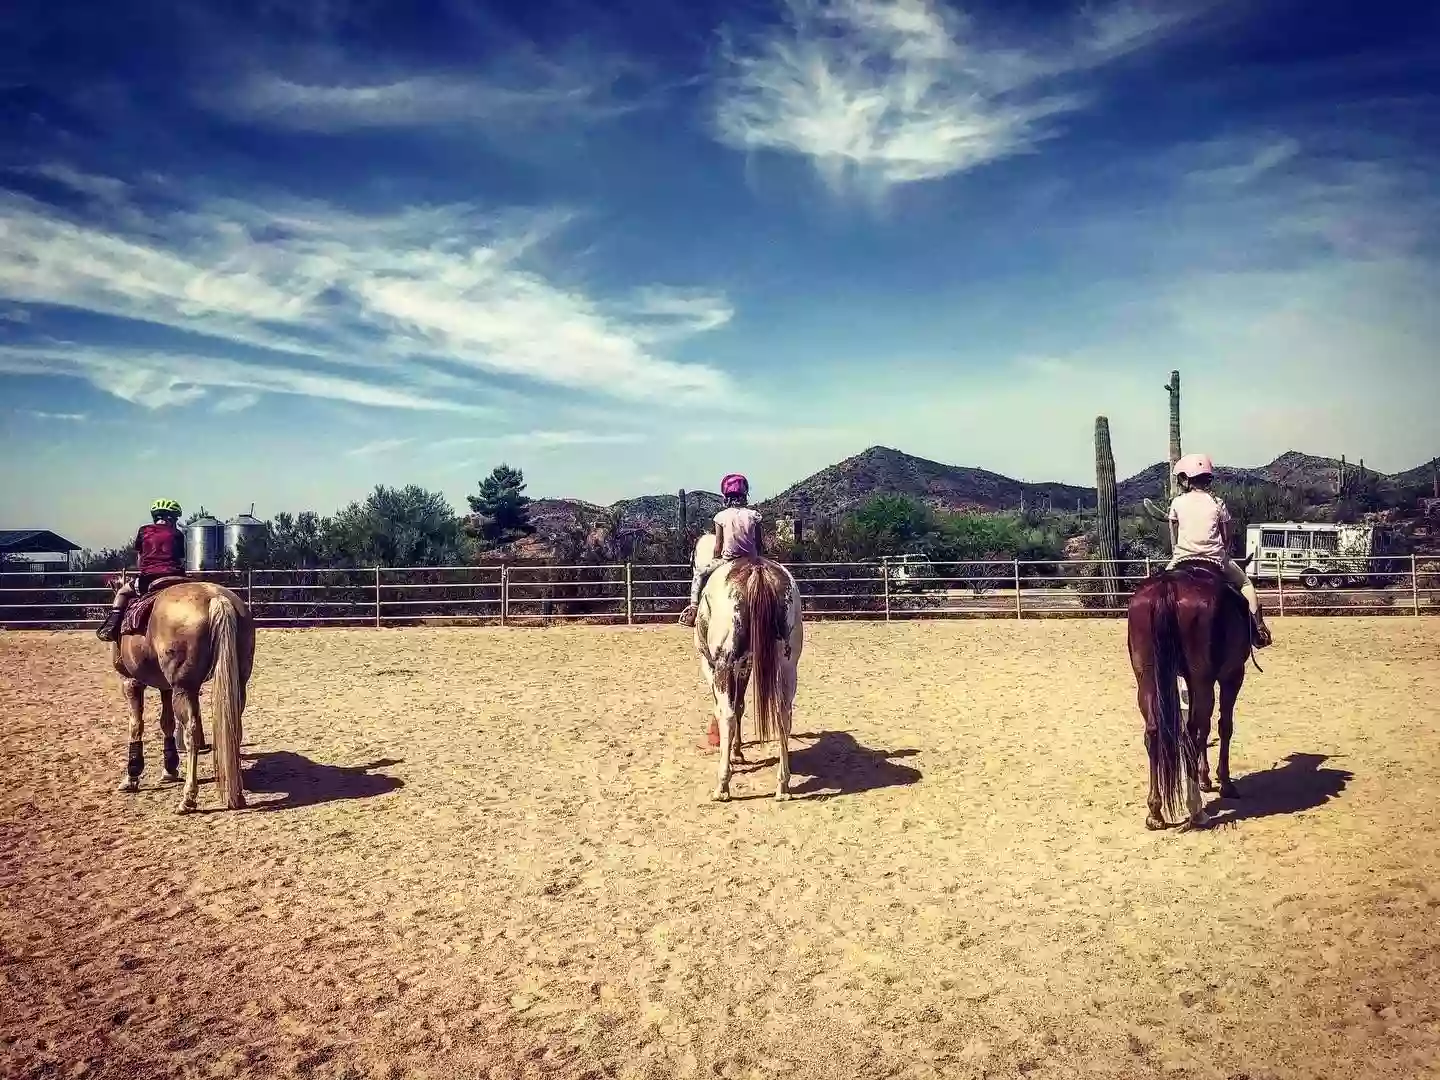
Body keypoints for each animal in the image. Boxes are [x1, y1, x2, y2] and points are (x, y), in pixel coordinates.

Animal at [109, 576, 256, 812]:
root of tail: (216, 598)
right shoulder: (166, 687)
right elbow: (166, 723)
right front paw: (169, 769)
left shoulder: (131, 682)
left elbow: (136, 725)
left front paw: (131, 776)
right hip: (235, 684)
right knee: (234, 727)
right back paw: (236, 793)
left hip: (184, 688)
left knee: (191, 734)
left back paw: (188, 798)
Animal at [691, 558, 806, 806]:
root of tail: (758, 571)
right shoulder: (745, 666)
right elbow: (741, 705)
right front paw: (737, 751)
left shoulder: (712, 666)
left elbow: (724, 709)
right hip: (787, 666)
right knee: (783, 716)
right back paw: (783, 785)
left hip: (724, 665)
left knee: (727, 715)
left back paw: (722, 785)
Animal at [1123, 552, 1261, 835]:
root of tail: (1167, 586)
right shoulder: (1232, 675)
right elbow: (1223, 726)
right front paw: (1221, 781)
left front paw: (1205, 777)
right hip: (1204, 678)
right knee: (1195, 730)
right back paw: (1195, 809)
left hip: (1147, 679)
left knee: (1154, 733)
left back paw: (1155, 811)